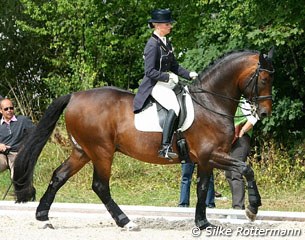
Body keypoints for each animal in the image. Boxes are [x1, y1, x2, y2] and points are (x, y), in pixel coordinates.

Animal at [12, 49, 274, 231]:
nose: (263, 114)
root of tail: (75, 96)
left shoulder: (206, 159)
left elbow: (201, 189)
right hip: (101, 151)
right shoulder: (212, 154)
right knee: (100, 186)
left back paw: (43, 218)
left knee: (59, 176)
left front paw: (202, 223)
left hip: (83, 151)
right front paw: (252, 208)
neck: (210, 103)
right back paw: (125, 221)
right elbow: (246, 168)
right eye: (263, 80)